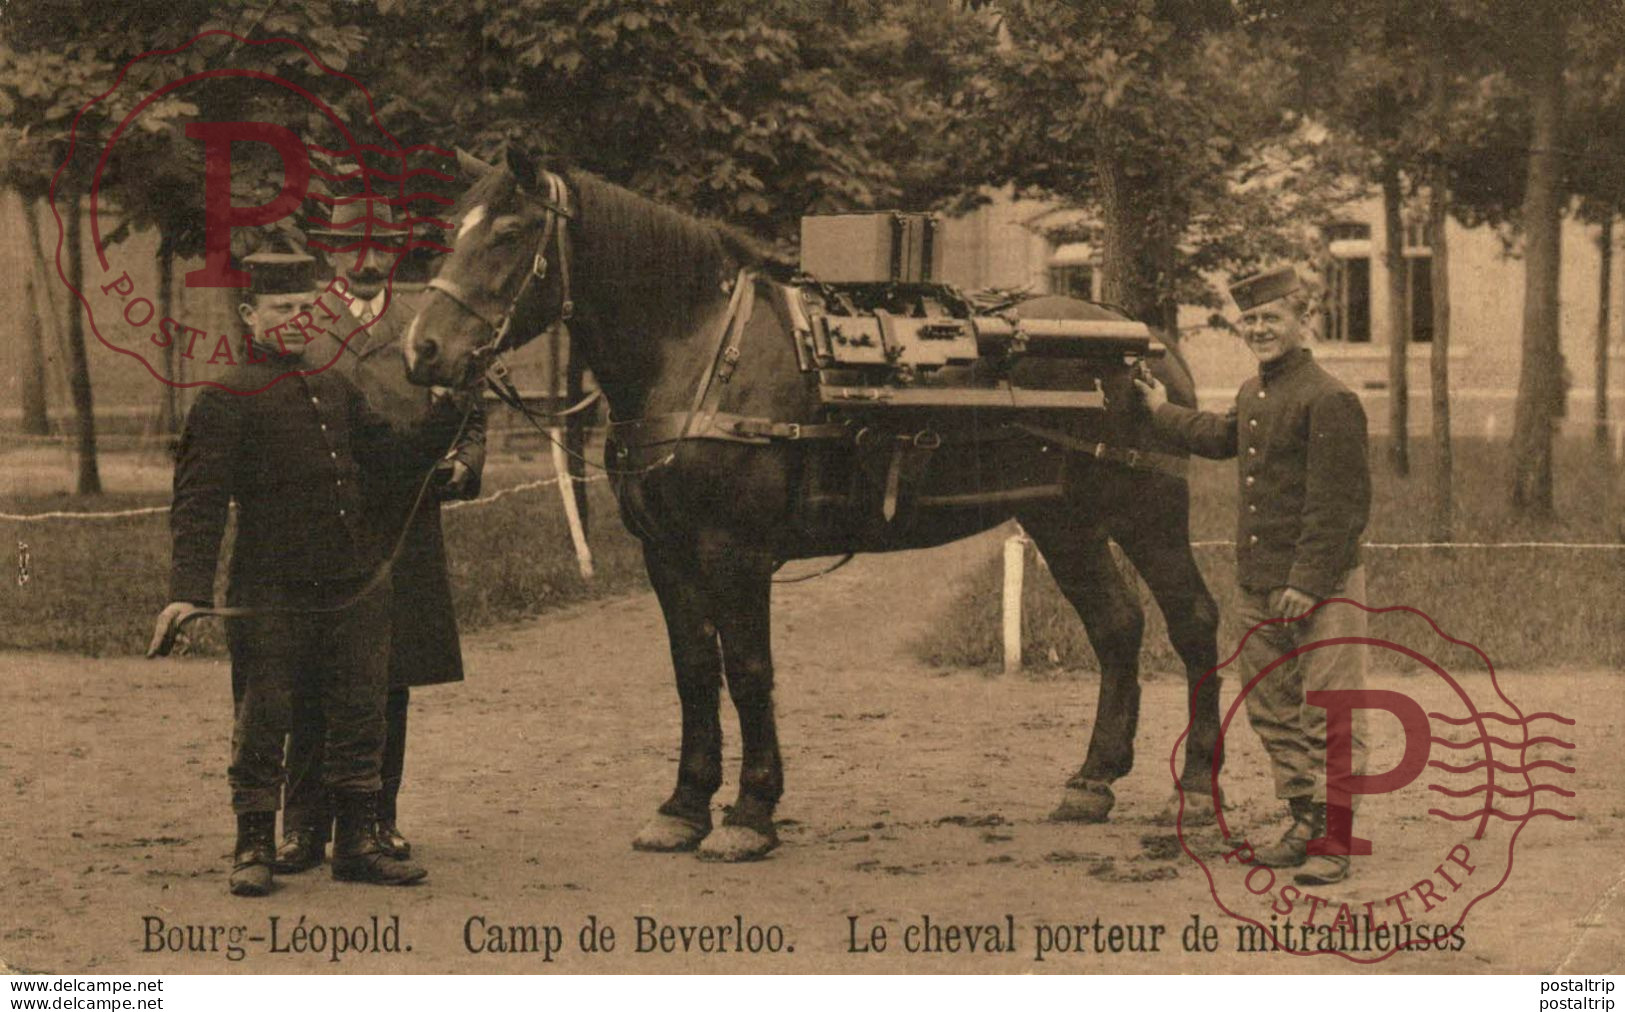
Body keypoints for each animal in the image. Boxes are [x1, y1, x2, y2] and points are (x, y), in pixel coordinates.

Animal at [403, 148, 1222, 864]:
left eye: (509, 233)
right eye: (450, 230)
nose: (422, 350)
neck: (699, 356)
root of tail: (1149, 344)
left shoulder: (734, 554)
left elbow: (748, 671)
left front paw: (749, 814)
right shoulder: (665, 555)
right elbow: (693, 672)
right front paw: (682, 809)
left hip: (1144, 509)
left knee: (1191, 622)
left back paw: (1198, 788)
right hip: (1064, 520)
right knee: (1116, 626)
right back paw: (1091, 781)